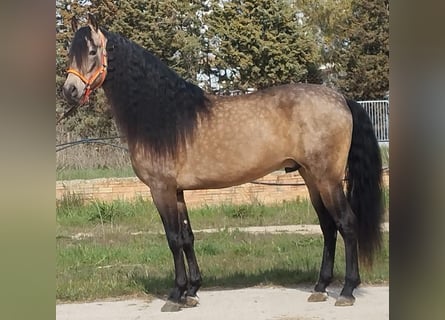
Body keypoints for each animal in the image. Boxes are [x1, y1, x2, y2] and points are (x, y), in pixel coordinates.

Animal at [60, 13, 384, 312]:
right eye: (70, 52)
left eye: (92, 51)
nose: (70, 90)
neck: (165, 116)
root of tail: (341, 99)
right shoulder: (177, 192)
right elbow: (187, 237)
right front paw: (192, 291)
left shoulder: (161, 189)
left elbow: (173, 238)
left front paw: (175, 295)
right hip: (310, 177)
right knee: (328, 227)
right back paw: (320, 287)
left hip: (328, 179)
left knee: (347, 224)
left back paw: (347, 291)